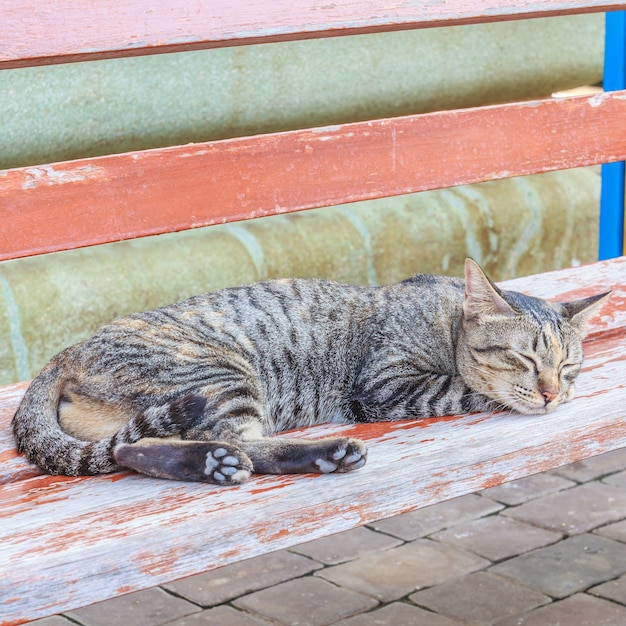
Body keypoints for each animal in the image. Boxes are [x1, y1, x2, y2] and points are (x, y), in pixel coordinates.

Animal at [11, 258, 604, 482]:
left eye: (568, 365)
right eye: (524, 358)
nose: (552, 393)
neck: (446, 319)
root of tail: (68, 351)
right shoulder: (386, 386)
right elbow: (467, 389)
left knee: (127, 450)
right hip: (222, 375)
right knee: (242, 442)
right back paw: (324, 453)